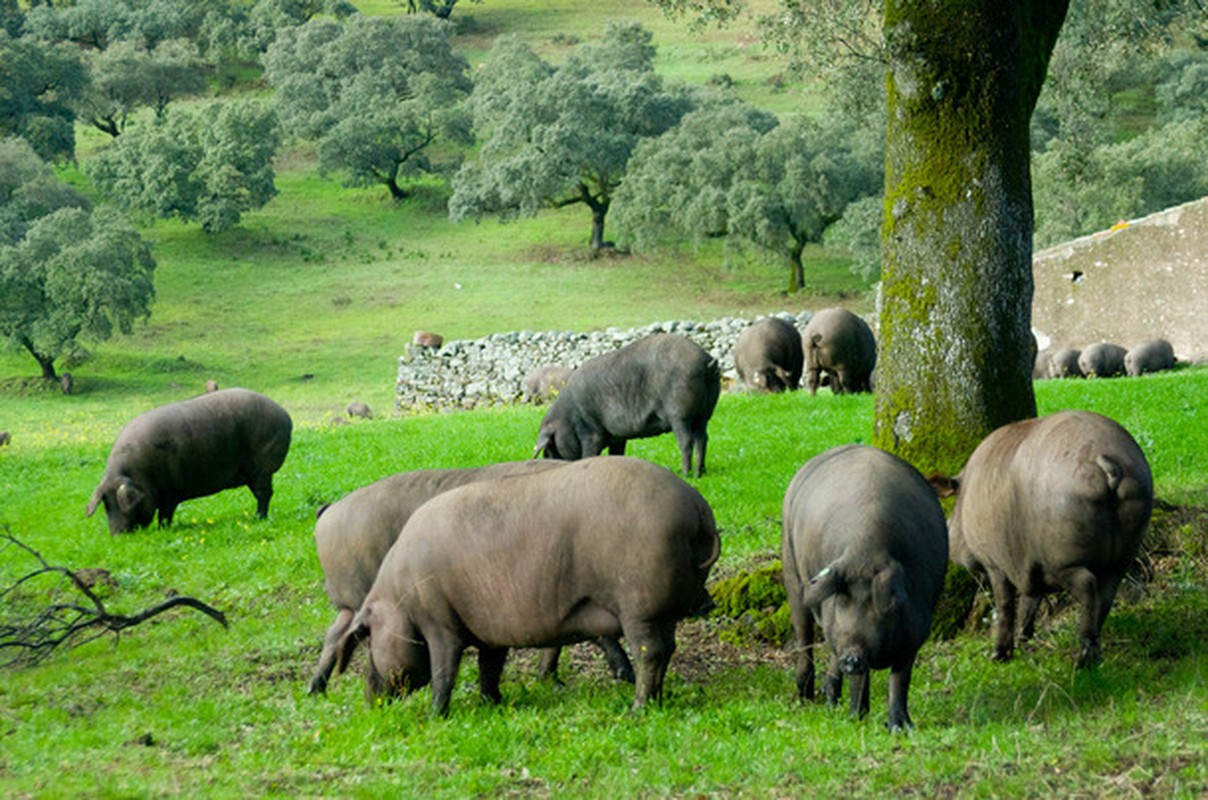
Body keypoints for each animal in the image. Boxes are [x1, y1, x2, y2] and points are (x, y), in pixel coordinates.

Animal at [85, 389, 292, 536]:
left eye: (124, 505)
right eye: (106, 506)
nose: (117, 535)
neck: (141, 474)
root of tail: (285, 415)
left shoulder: (170, 491)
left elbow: (165, 515)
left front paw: (162, 531)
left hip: (262, 469)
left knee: (264, 494)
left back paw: (259, 518)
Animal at [333, 456, 715, 720]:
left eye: (368, 638)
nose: (368, 703)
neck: (399, 595)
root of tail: (697, 509)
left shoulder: (439, 623)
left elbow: (444, 673)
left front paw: (434, 718)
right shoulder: (488, 630)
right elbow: (489, 668)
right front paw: (493, 704)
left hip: (640, 605)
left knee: (650, 652)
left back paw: (637, 710)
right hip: (663, 610)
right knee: (668, 649)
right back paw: (658, 700)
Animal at [531, 333, 715, 476]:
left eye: (550, 448)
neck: (568, 418)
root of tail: (706, 363)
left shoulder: (592, 432)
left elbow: (589, 453)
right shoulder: (617, 436)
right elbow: (617, 453)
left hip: (680, 413)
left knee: (687, 441)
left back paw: (685, 473)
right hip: (704, 414)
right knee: (703, 439)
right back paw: (700, 472)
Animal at [777, 444, 947, 734]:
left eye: (881, 609)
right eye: (841, 602)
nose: (852, 656)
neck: (865, 553)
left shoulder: (917, 627)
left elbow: (900, 679)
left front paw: (900, 728)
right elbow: (861, 680)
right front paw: (856, 716)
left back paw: (831, 701)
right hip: (790, 567)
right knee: (805, 636)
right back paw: (808, 697)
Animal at [927, 410, 1154, 667]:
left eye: (954, 504)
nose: (946, 534)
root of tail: (1106, 463)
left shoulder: (995, 564)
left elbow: (1006, 604)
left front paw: (999, 656)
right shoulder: (1030, 566)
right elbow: (1030, 601)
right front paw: (1024, 641)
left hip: (1064, 555)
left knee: (1087, 585)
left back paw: (1083, 659)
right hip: (1126, 543)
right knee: (1106, 594)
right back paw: (1094, 650)